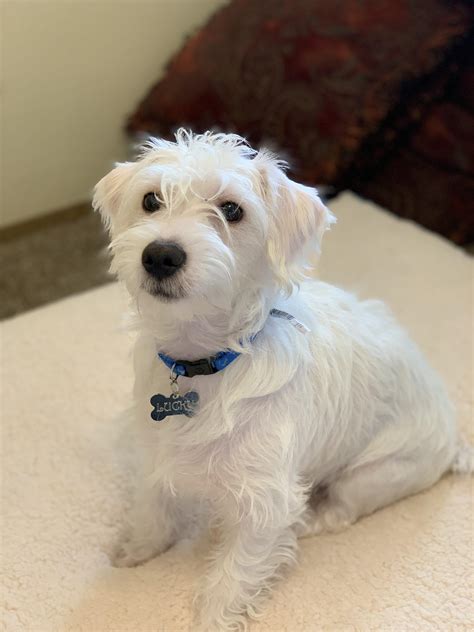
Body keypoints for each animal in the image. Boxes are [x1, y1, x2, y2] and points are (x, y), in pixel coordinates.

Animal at [93, 131, 470, 628]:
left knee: (342, 512)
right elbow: (153, 508)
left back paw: (312, 521)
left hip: (371, 476)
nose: (160, 255)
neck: (206, 361)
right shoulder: (157, 451)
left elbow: (232, 578)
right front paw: (136, 549)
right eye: (151, 199)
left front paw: (212, 620)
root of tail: (453, 437)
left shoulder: (265, 503)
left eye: (232, 209)